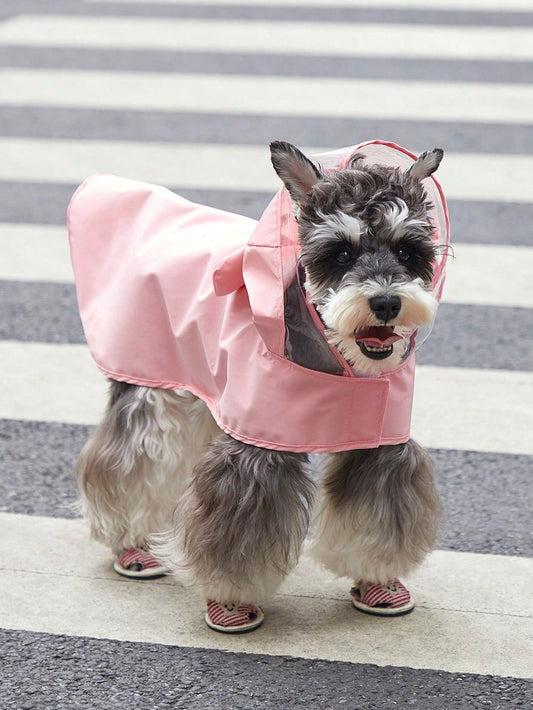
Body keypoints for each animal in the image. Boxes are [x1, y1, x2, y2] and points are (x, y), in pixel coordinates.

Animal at [68, 139, 446, 636]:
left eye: (407, 251)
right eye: (340, 254)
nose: (385, 302)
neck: (338, 360)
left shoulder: (381, 445)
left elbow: (377, 515)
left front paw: (377, 579)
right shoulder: (254, 453)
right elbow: (235, 530)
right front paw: (231, 599)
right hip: (149, 388)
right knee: (128, 460)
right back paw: (129, 542)